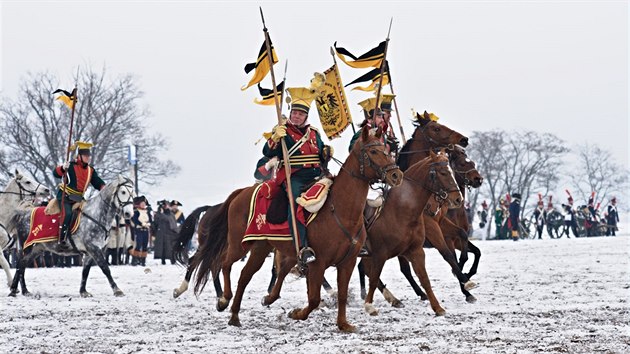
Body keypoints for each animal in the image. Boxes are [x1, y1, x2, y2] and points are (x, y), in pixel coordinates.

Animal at [190, 126, 404, 334]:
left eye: (386, 150)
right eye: (373, 151)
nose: (396, 175)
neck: (341, 210)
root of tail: (242, 192)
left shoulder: (348, 262)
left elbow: (342, 295)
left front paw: (343, 324)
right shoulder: (317, 263)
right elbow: (314, 299)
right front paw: (296, 314)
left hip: (261, 248)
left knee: (245, 276)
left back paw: (236, 315)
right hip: (240, 244)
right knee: (224, 263)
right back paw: (224, 300)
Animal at [360, 149, 464, 316]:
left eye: (452, 172)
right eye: (443, 173)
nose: (458, 199)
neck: (401, 210)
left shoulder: (416, 251)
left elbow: (425, 278)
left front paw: (438, 308)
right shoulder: (380, 254)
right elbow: (374, 277)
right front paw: (369, 306)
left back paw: (394, 299)